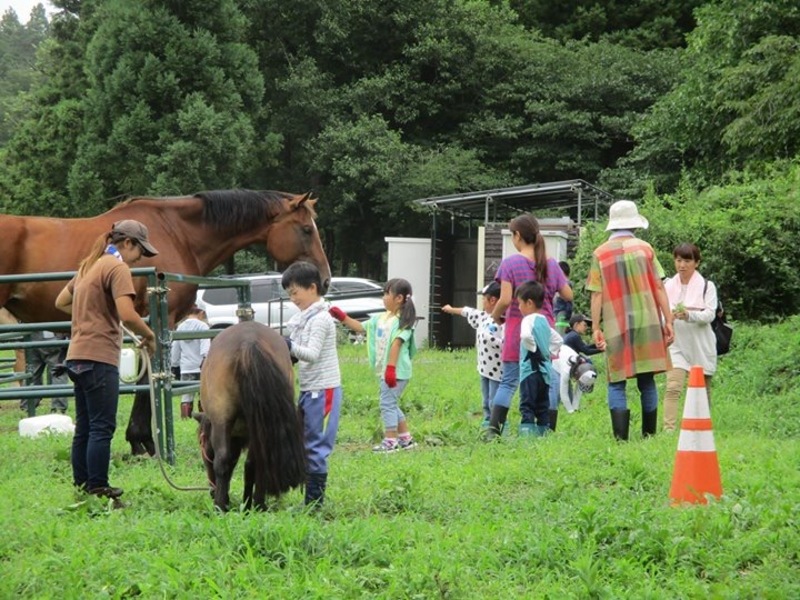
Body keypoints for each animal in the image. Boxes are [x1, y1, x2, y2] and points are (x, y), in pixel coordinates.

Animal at [0, 191, 332, 454]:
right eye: (306, 229)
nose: (325, 279)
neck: (178, 233)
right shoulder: (160, 318)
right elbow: (150, 378)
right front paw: (142, 441)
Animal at [195, 322, 304, 512]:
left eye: (203, 447)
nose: (211, 491)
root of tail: (248, 342)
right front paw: (247, 504)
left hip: (222, 420)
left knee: (222, 460)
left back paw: (220, 507)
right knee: (256, 462)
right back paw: (257, 504)